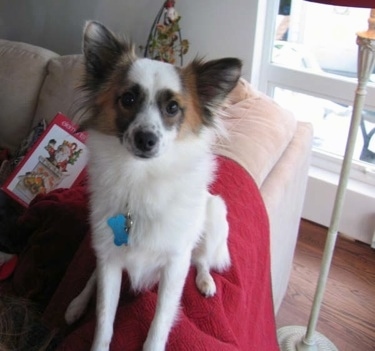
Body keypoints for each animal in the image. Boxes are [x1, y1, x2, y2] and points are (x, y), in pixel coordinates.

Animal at [64, 20, 241, 350]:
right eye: (128, 99)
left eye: (172, 107)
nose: (146, 139)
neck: (140, 178)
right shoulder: (110, 262)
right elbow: (104, 319)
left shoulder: (174, 265)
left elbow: (159, 325)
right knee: (93, 277)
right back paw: (78, 303)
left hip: (214, 214)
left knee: (202, 260)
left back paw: (205, 280)